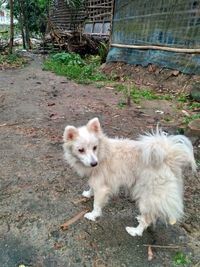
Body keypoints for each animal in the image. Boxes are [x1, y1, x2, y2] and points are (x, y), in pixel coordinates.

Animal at [63, 118, 197, 238]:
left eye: (95, 147)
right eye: (81, 150)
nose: (94, 163)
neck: (102, 153)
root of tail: (168, 158)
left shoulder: (102, 188)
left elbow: (96, 204)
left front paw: (92, 216)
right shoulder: (95, 179)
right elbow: (91, 187)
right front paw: (88, 194)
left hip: (148, 196)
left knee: (148, 218)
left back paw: (135, 231)